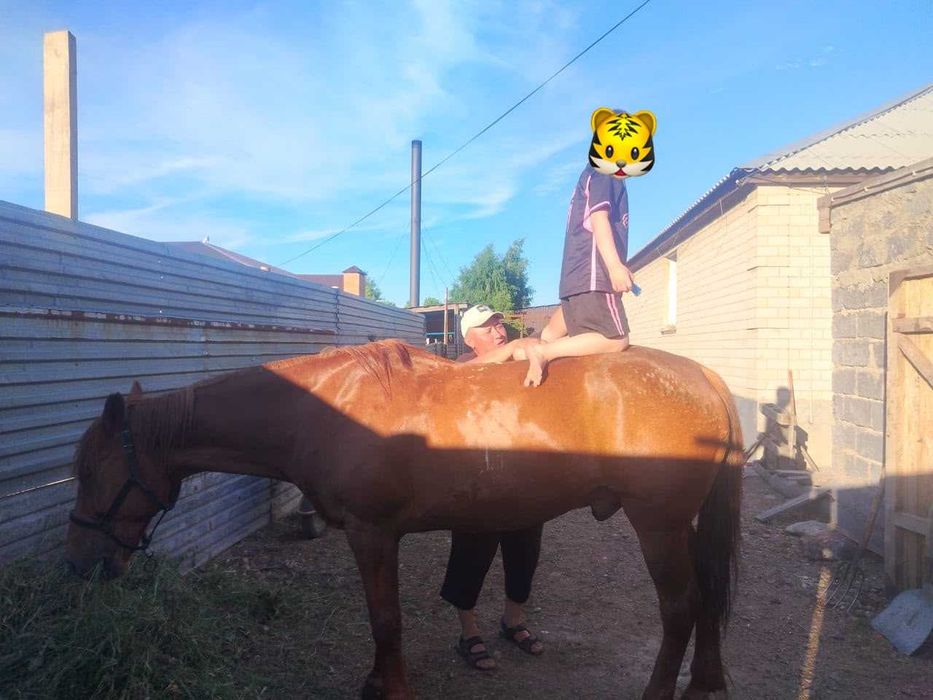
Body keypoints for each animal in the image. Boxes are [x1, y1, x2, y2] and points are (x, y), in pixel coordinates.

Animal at [65, 340, 743, 700]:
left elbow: (385, 620)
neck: (323, 410)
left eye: (91, 472)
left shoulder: (373, 534)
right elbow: (381, 620)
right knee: (709, 595)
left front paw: (389, 687)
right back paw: (706, 681)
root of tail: (702, 375)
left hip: (657, 526)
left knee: (681, 607)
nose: (81, 564)